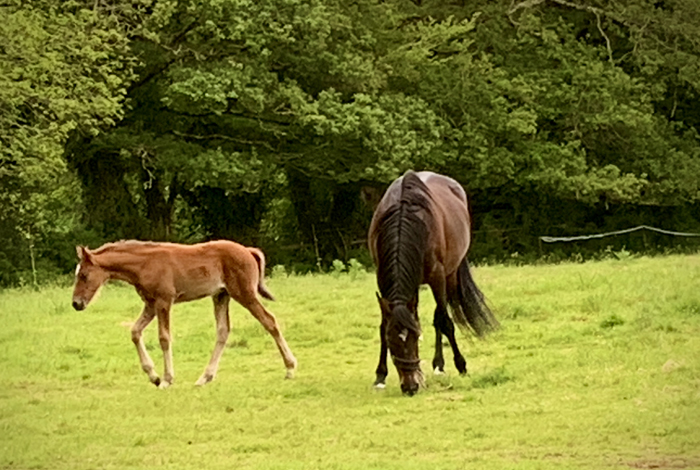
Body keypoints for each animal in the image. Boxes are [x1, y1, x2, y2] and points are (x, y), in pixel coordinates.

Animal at [68, 241, 292, 388]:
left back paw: (290, 368)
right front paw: (153, 376)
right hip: (221, 296)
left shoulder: (163, 301)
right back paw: (204, 378)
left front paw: (166, 379)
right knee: (223, 331)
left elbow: (164, 338)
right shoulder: (150, 304)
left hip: (244, 293)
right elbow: (135, 332)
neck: (144, 263)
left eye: (84, 275)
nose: (76, 303)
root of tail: (248, 250)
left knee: (269, 321)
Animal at [366, 171, 498, 394]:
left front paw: (461, 365)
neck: (406, 221)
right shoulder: (382, 279)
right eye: (392, 343)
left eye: (413, 339)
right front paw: (380, 376)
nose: (409, 387)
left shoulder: (437, 276)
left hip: (449, 275)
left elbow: (444, 321)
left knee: (440, 317)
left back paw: (440, 365)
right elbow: (385, 325)